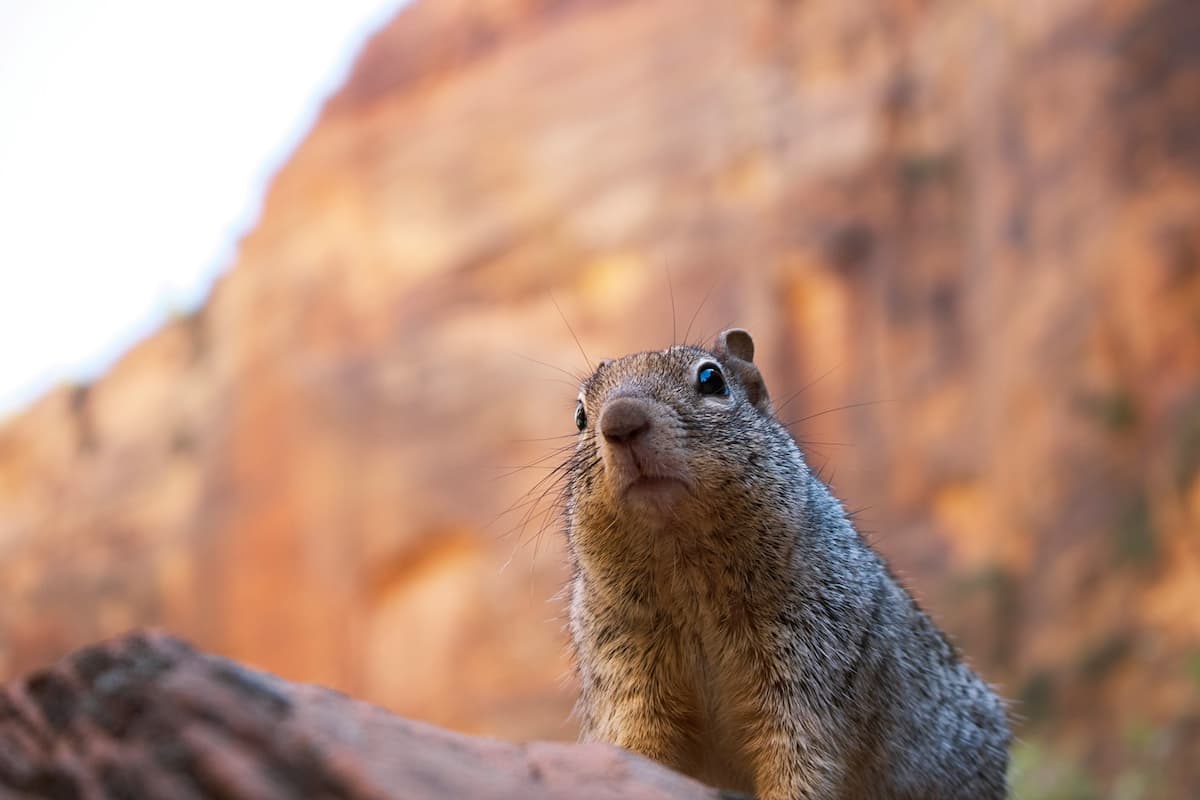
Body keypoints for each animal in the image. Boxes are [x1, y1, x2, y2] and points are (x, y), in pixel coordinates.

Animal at [556, 328, 1008, 796]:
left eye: (711, 379)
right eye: (579, 415)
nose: (620, 421)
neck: (689, 576)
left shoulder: (813, 669)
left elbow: (800, 762)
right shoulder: (625, 674)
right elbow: (638, 749)